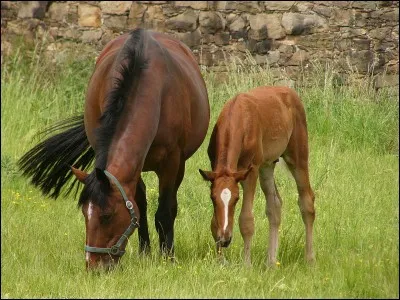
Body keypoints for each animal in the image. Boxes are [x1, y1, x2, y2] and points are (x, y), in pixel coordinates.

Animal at [18, 28, 211, 270]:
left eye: (107, 215)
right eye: (84, 213)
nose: (93, 266)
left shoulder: (172, 162)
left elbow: (165, 211)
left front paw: (168, 258)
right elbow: (139, 207)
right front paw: (145, 253)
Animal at [198, 85, 314, 266]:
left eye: (236, 199)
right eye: (212, 198)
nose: (225, 239)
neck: (238, 119)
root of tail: (290, 92)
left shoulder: (250, 172)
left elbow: (246, 220)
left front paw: (246, 264)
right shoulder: (215, 170)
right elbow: (214, 223)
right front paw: (220, 261)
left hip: (297, 157)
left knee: (307, 201)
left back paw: (309, 259)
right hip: (267, 165)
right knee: (275, 205)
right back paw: (271, 262)